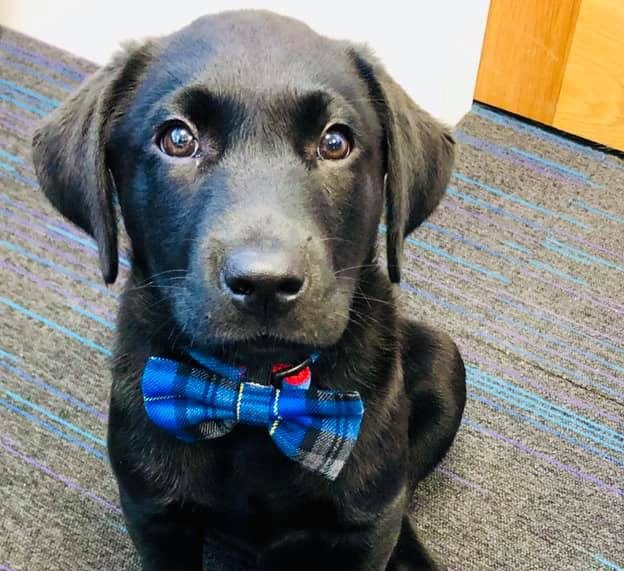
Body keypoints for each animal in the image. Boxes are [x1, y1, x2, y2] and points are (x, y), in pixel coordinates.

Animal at [31, 10, 466, 571]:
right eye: (178, 138)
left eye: (335, 142)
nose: (265, 283)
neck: (254, 394)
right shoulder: (153, 514)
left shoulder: (366, 529)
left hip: (443, 362)